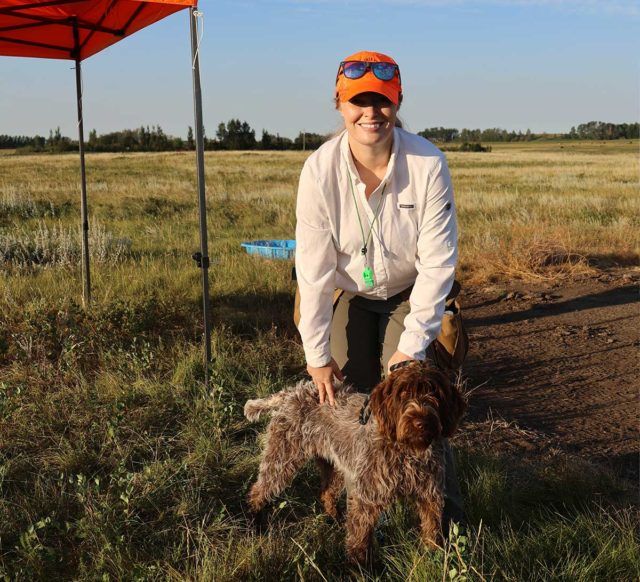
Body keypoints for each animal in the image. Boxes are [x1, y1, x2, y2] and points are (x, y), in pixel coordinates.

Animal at [244, 364, 464, 564]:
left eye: (435, 394)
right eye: (403, 394)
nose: (422, 423)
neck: (407, 450)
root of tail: (293, 391)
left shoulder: (429, 495)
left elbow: (431, 529)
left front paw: (434, 555)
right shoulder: (367, 498)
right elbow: (360, 537)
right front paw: (359, 568)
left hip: (336, 465)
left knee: (326, 492)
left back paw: (334, 518)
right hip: (282, 459)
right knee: (258, 490)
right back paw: (255, 523)